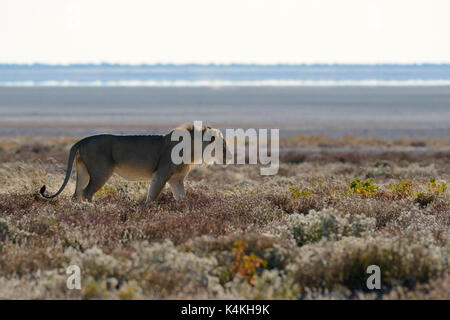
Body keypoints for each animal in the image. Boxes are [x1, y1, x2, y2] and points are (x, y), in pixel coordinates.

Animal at [39, 122, 229, 202]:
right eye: (223, 144)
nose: (229, 154)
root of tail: (82, 140)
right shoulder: (160, 174)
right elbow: (152, 195)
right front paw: (147, 210)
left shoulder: (176, 180)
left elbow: (182, 197)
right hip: (101, 173)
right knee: (86, 193)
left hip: (83, 171)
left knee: (77, 193)